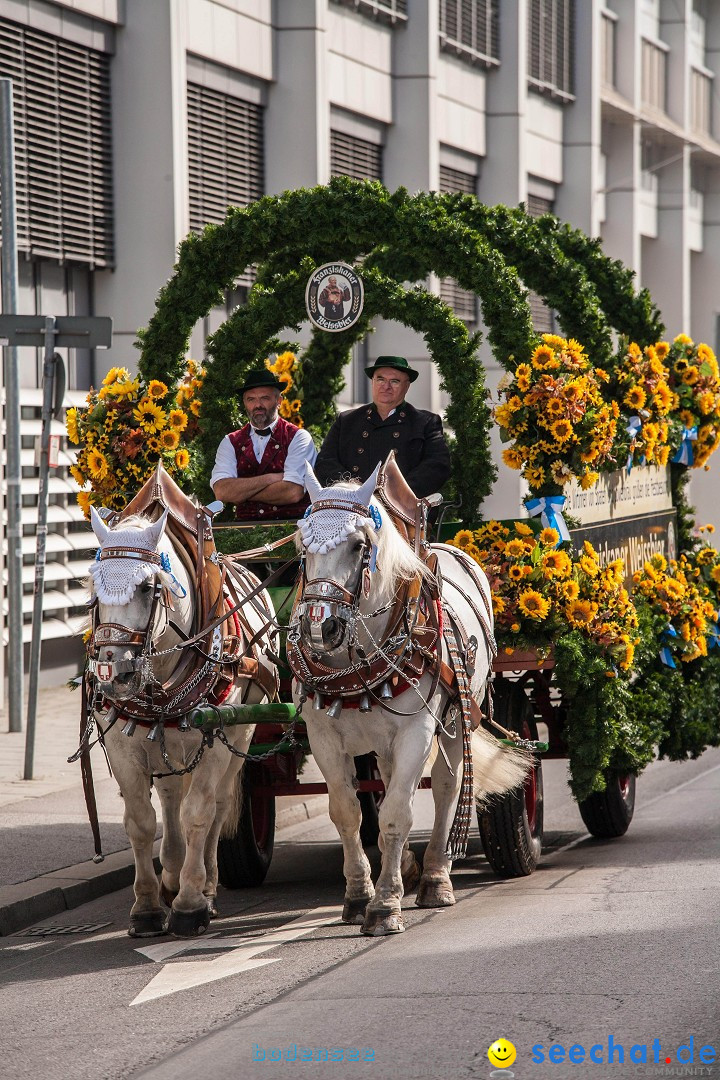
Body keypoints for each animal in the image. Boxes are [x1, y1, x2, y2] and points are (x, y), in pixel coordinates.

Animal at [83, 470, 278, 937]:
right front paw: (148, 906)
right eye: (93, 584)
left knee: (218, 804)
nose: (112, 671)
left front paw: (191, 903)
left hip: (239, 736)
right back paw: (170, 874)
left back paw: (204, 882)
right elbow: (140, 821)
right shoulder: (123, 744)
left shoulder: (217, 737)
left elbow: (198, 814)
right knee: (170, 794)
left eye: (147, 586)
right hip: (164, 739)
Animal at [287, 455, 528, 937]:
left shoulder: (417, 731)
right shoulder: (324, 738)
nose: (319, 627)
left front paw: (385, 906)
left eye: (359, 545)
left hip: (456, 718)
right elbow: (348, 813)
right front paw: (359, 895)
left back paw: (436, 876)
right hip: (384, 741)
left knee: (449, 788)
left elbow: (398, 814)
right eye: (303, 546)